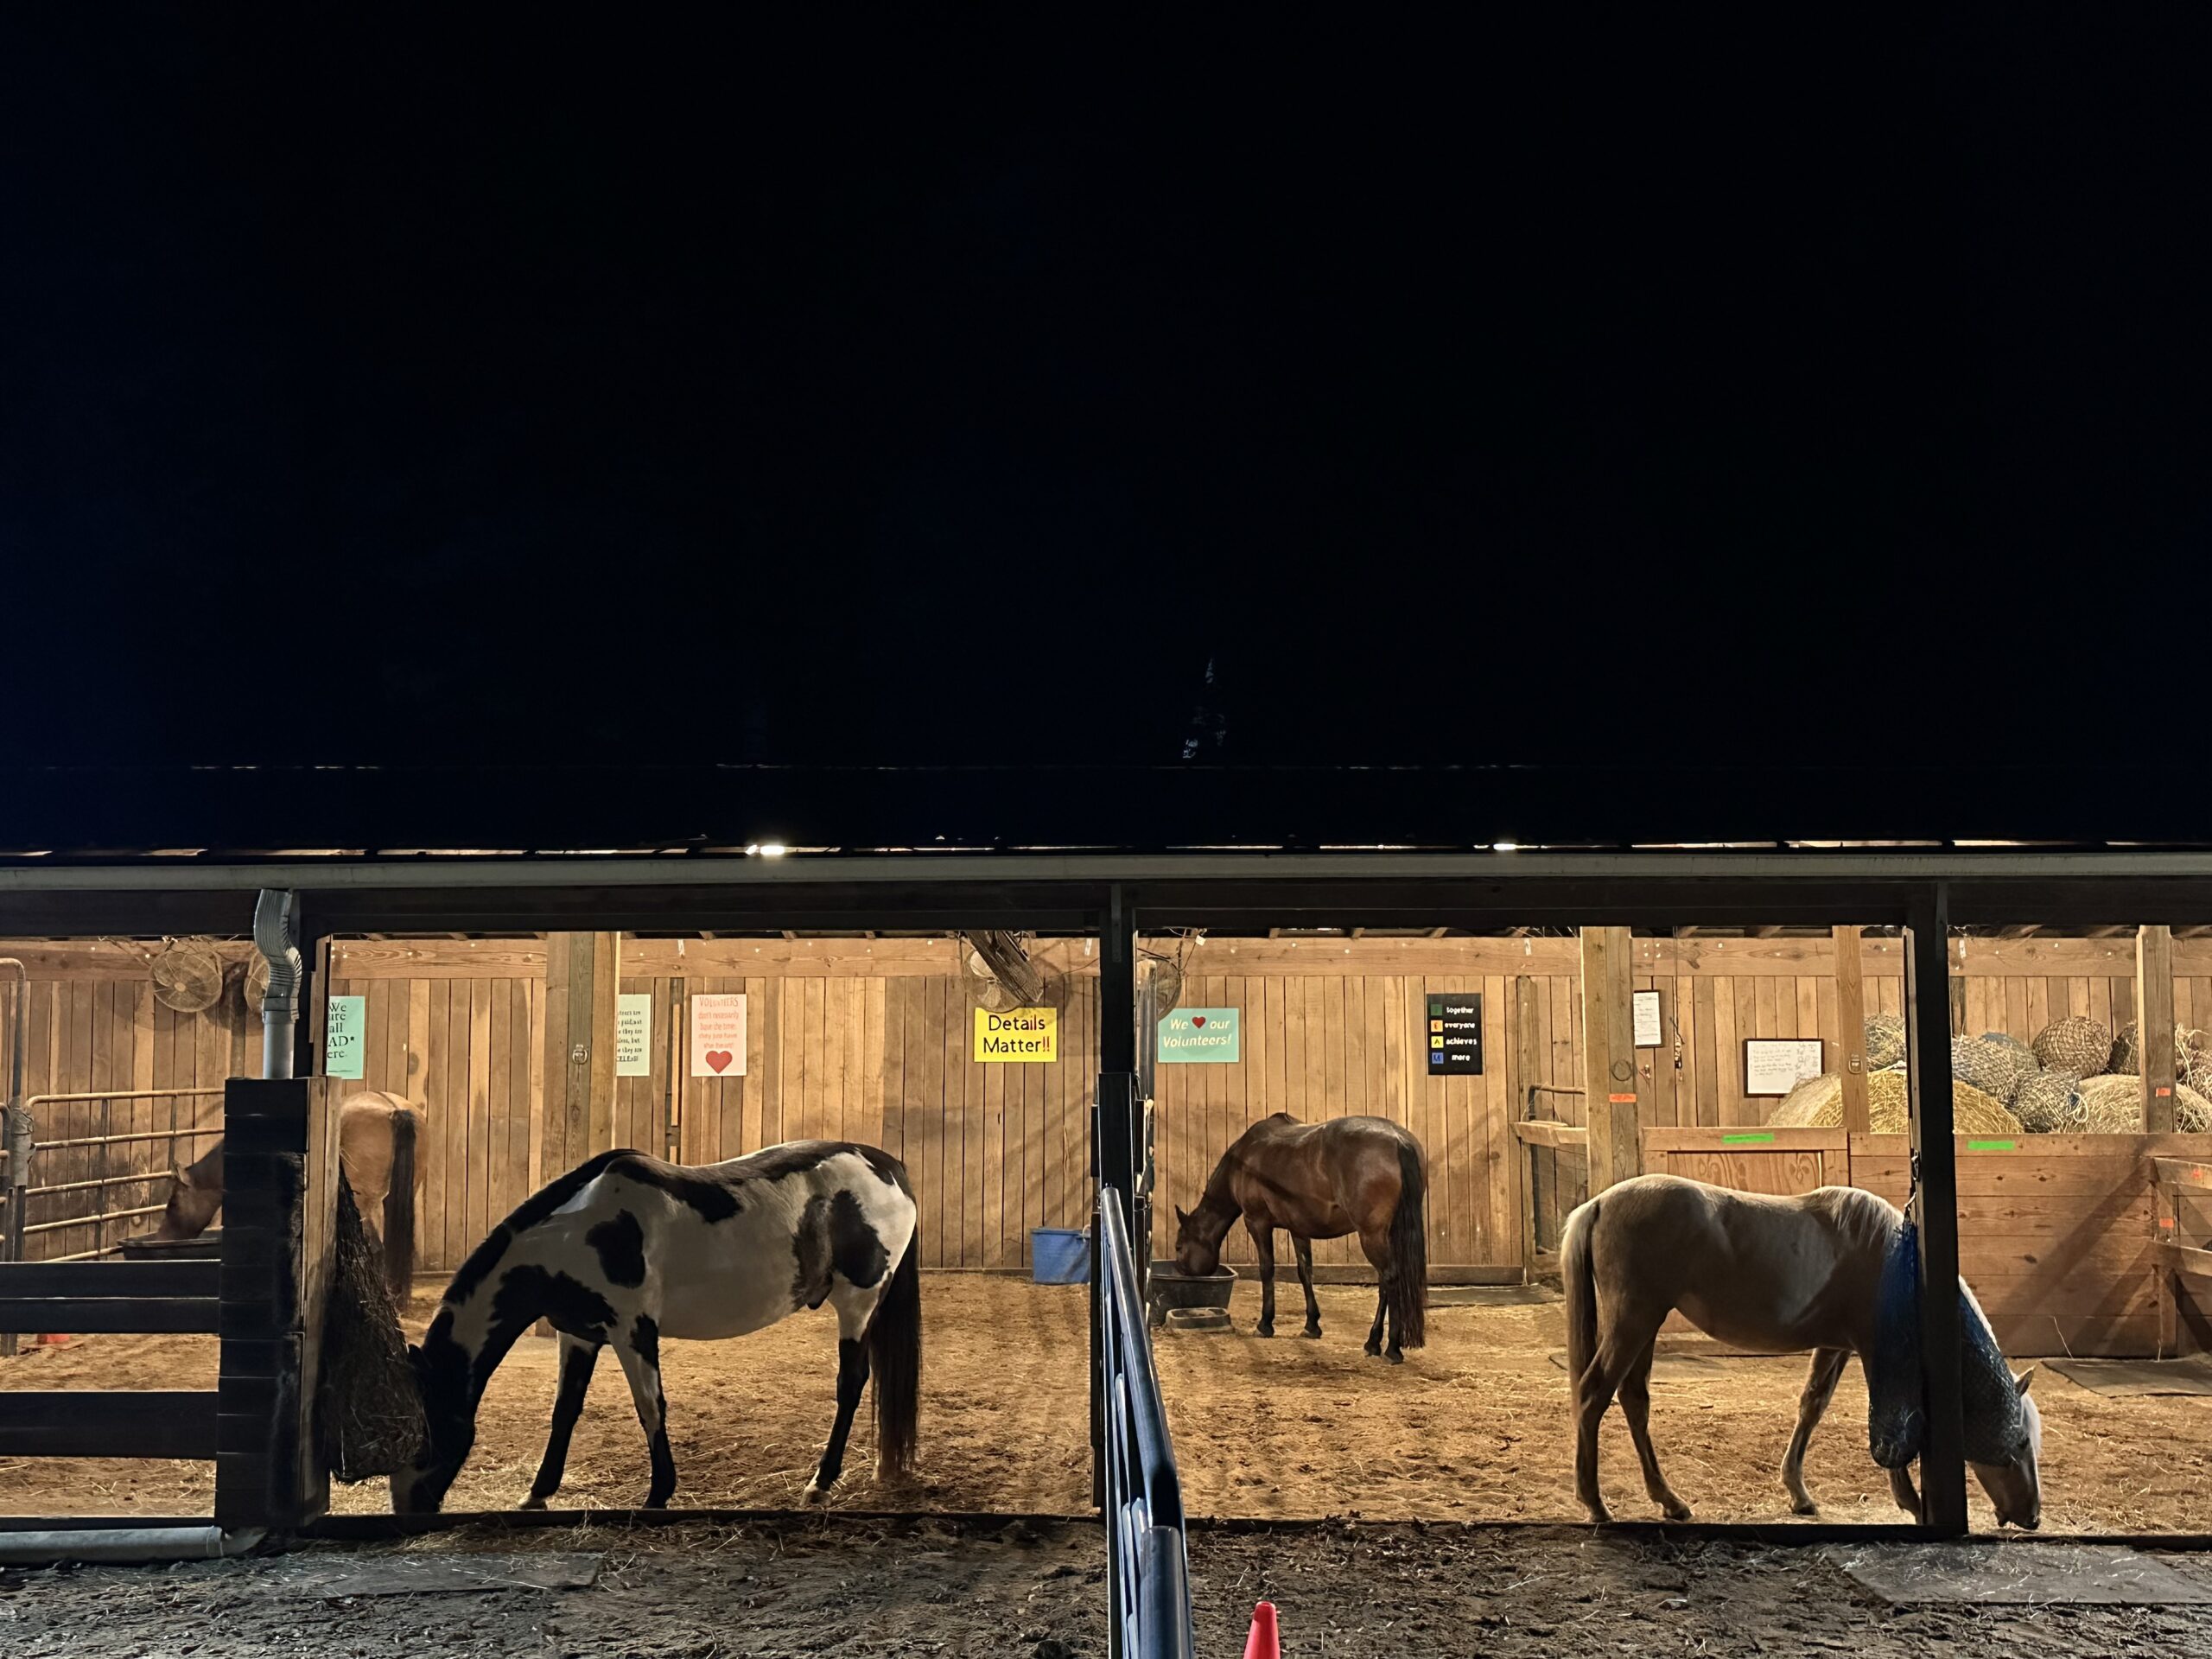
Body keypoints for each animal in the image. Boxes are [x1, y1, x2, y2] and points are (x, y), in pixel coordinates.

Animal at [389, 1141, 915, 1522]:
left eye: (426, 1435)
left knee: (850, 1385)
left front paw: (658, 1494)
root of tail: (890, 1168)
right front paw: (536, 1495)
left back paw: (820, 1484)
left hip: (858, 1303)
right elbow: (564, 1412)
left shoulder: (633, 1331)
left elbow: (650, 1408)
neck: (576, 1234)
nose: (408, 1511)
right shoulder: (577, 1334)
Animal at [1167, 1119, 1424, 1362]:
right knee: (1384, 1284)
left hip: (1371, 1235)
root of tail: (1398, 1140)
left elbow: (1267, 1270)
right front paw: (1312, 1325)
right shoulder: (1299, 1228)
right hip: (1384, 1235)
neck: (1244, 1159)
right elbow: (1305, 1271)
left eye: (1179, 1247)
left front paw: (1265, 1324)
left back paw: (1392, 1348)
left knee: (1390, 1278)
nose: (1181, 1272)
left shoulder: (1257, 1223)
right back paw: (1373, 1342)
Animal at [1557, 1176, 2035, 1530]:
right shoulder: (1875, 1351)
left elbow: (1812, 1406)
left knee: (1633, 1400)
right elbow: (1893, 1423)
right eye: (2022, 1441)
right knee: (1594, 1394)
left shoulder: (1835, 1346)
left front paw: (1799, 1494)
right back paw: (1595, 1504)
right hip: (1634, 1321)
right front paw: (1913, 1504)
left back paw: (1669, 1501)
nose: (2032, 1516)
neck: (1892, 1261)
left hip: (1645, 1326)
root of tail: (1599, 1203)